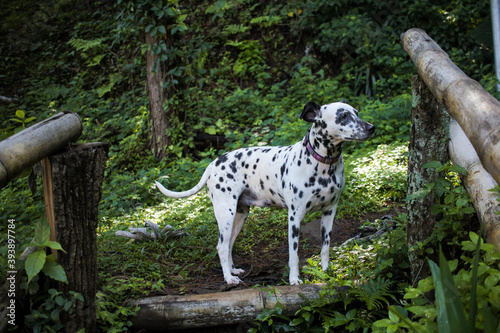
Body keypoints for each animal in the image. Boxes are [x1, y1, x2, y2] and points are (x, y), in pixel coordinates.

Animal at [156, 100, 376, 282]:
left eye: (356, 112)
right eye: (343, 116)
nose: (371, 127)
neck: (322, 164)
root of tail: (213, 164)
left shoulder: (330, 212)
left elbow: (325, 248)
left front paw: (325, 271)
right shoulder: (294, 218)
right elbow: (294, 255)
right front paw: (294, 279)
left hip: (239, 217)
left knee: (229, 245)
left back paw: (233, 270)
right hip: (226, 214)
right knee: (221, 246)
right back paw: (228, 278)